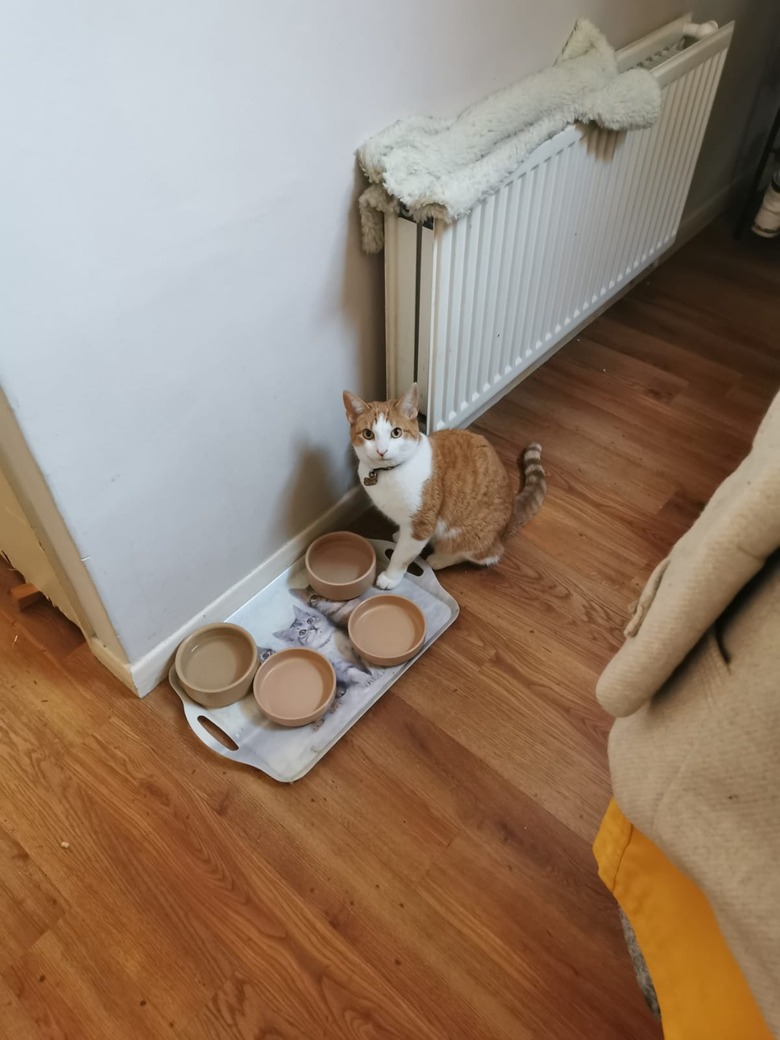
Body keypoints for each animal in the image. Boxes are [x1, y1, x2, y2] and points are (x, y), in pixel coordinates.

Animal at [345, 386, 544, 590]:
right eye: (368, 434)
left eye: (396, 432)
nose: (382, 451)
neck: (389, 473)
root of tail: (511, 514)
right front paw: (399, 535)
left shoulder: (422, 525)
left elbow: (401, 556)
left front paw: (391, 577)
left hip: (465, 536)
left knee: (487, 555)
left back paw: (439, 559)